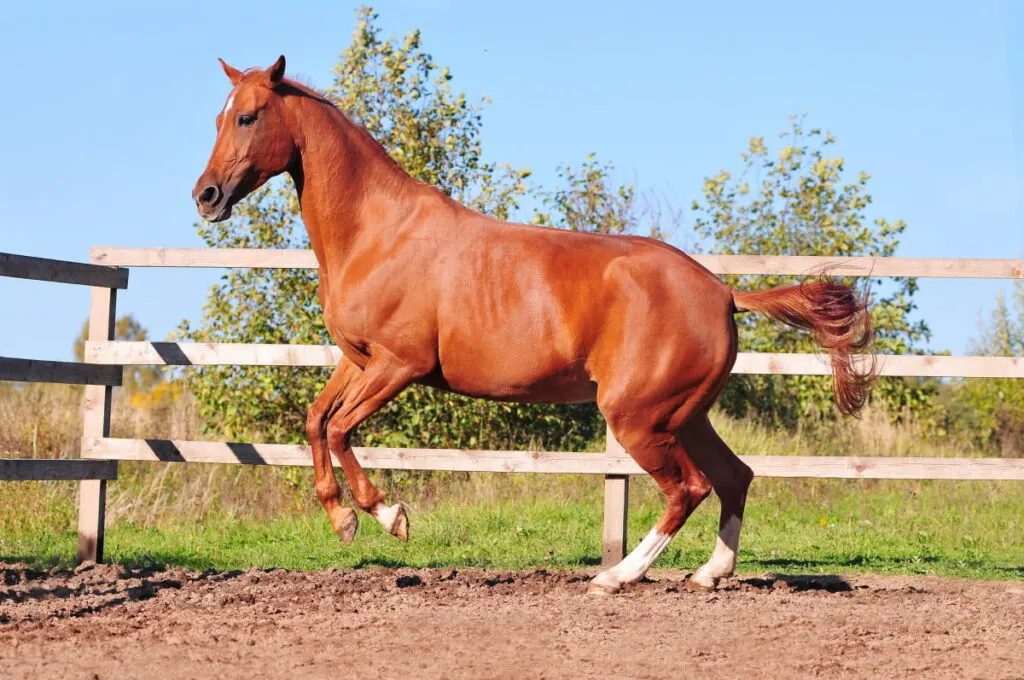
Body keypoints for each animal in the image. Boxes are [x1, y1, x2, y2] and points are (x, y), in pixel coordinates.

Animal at [192, 55, 872, 593]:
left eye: (248, 116)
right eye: (217, 118)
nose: (205, 196)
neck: (378, 233)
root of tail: (723, 293)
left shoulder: (399, 364)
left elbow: (338, 429)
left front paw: (386, 516)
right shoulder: (358, 360)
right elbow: (315, 421)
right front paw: (343, 520)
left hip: (638, 418)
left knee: (689, 488)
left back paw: (614, 577)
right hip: (683, 414)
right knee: (734, 477)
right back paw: (708, 574)